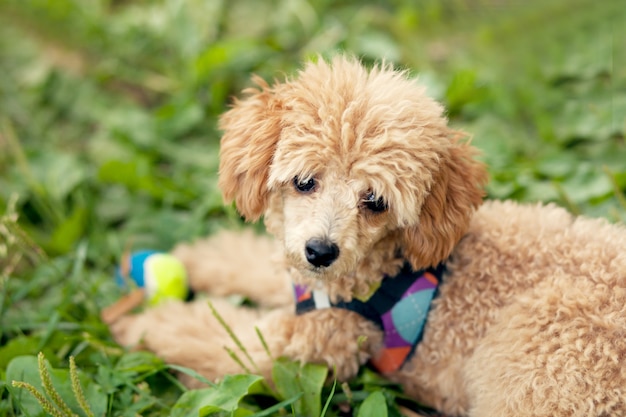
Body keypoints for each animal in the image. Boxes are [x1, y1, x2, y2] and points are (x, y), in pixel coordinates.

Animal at [112, 56, 624, 416]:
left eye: (375, 201)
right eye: (304, 181)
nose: (321, 252)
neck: (384, 266)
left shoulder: (302, 348)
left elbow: (206, 337)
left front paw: (138, 324)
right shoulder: (300, 275)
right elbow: (251, 262)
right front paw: (197, 259)